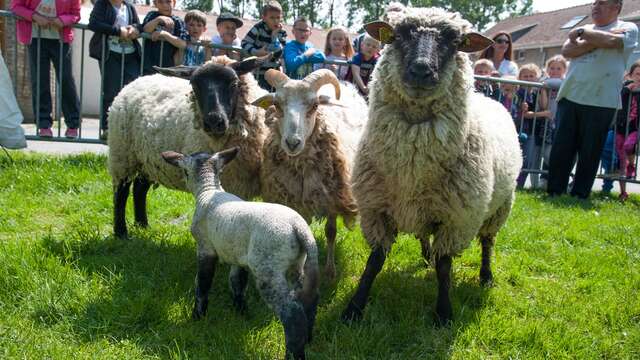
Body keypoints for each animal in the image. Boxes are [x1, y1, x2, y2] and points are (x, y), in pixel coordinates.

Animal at [107, 56, 268, 238]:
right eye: (194, 85)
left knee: (139, 189)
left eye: (234, 83)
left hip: (147, 159)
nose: (214, 121)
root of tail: (136, 80)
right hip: (122, 155)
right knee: (121, 192)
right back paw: (121, 232)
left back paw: (143, 225)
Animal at [161, 147, 318, 360]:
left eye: (185, 172)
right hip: (298, 265)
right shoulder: (239, 257)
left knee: (292, 313)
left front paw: (197, 317)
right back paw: (307, 340)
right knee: (308, 301)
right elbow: (237, 284)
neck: (209, 190)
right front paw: (241, 313)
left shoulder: (205, 248)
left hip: (267, 268)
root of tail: (299, 228)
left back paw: (294, 354)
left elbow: (202, 284)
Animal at [251, 69, 368, 278]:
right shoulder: (294, 199)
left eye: (315, 106)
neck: (302, 168)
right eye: (276, 105)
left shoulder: (332, 197)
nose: (292, 143)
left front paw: (329, 270)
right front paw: (298, 270)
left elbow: (331, 232)